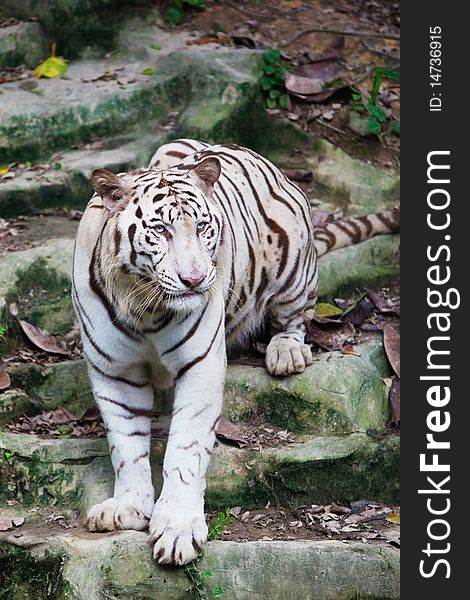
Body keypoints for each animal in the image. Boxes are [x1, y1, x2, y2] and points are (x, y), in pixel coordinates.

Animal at [71, 138, 398, 564]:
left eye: (202, 226)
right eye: (160, 230)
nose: (195, 279)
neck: (144, 302)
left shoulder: (200, 365)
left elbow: (185, 449)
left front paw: (177, 528)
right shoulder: (115, 371)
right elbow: (126, 445)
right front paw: (128, 506)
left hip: (293, 270)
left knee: (295, 320)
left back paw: (286, 354)